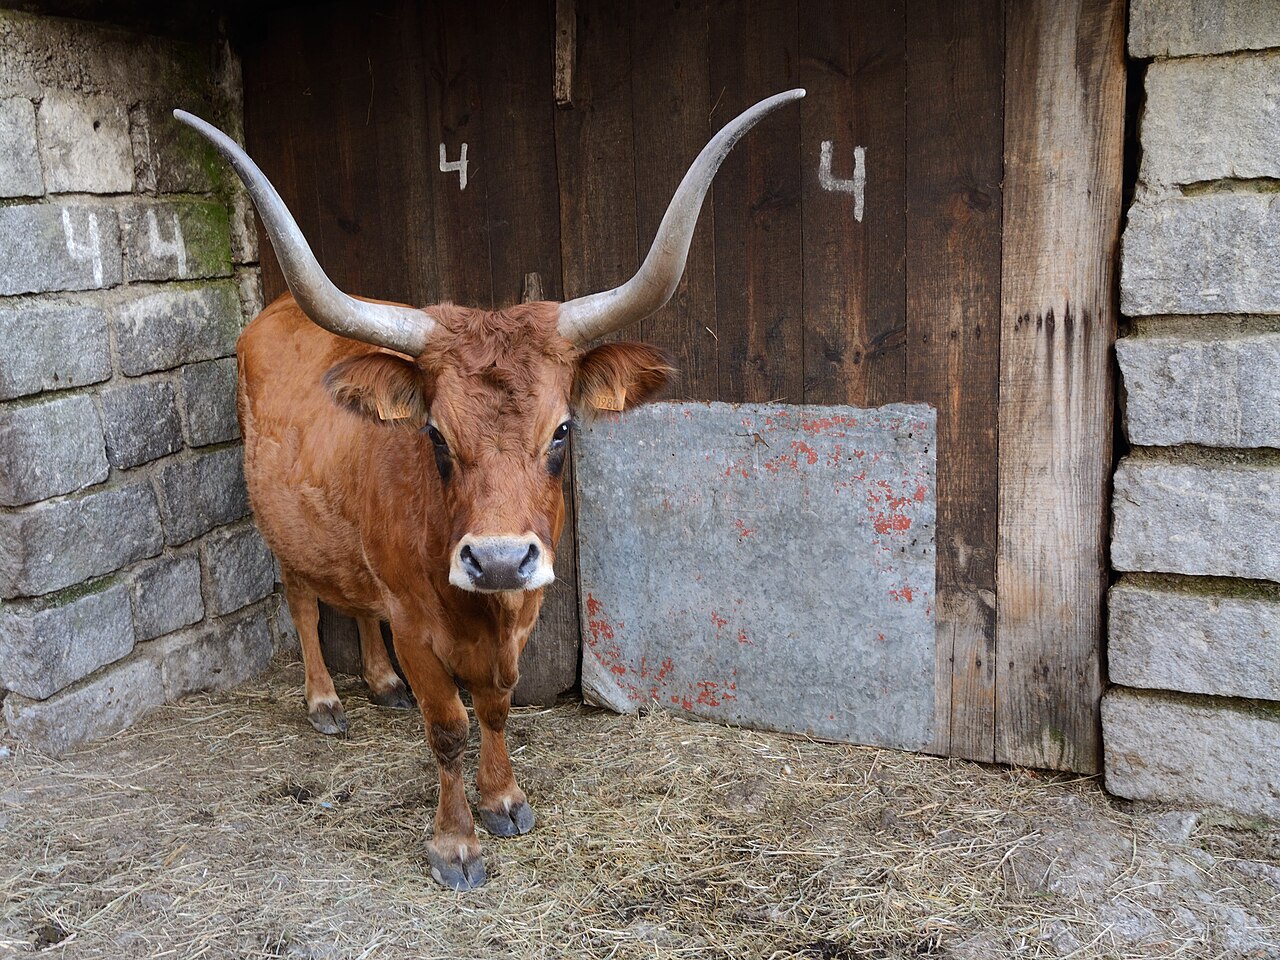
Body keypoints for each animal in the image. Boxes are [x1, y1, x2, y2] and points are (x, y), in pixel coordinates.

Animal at [174, 88, 803, 891]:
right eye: (436, 435)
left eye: (563, 430)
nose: (499, 559)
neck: (486, 611)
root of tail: (276, 314)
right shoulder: (417, 623)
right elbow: (448, 727)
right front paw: (456, 844)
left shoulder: (524, 609)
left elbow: (498, 707)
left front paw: (503, 800)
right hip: (279, 526)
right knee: (307, 603)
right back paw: (324, 699)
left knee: (359, 605)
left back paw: (379, 683)